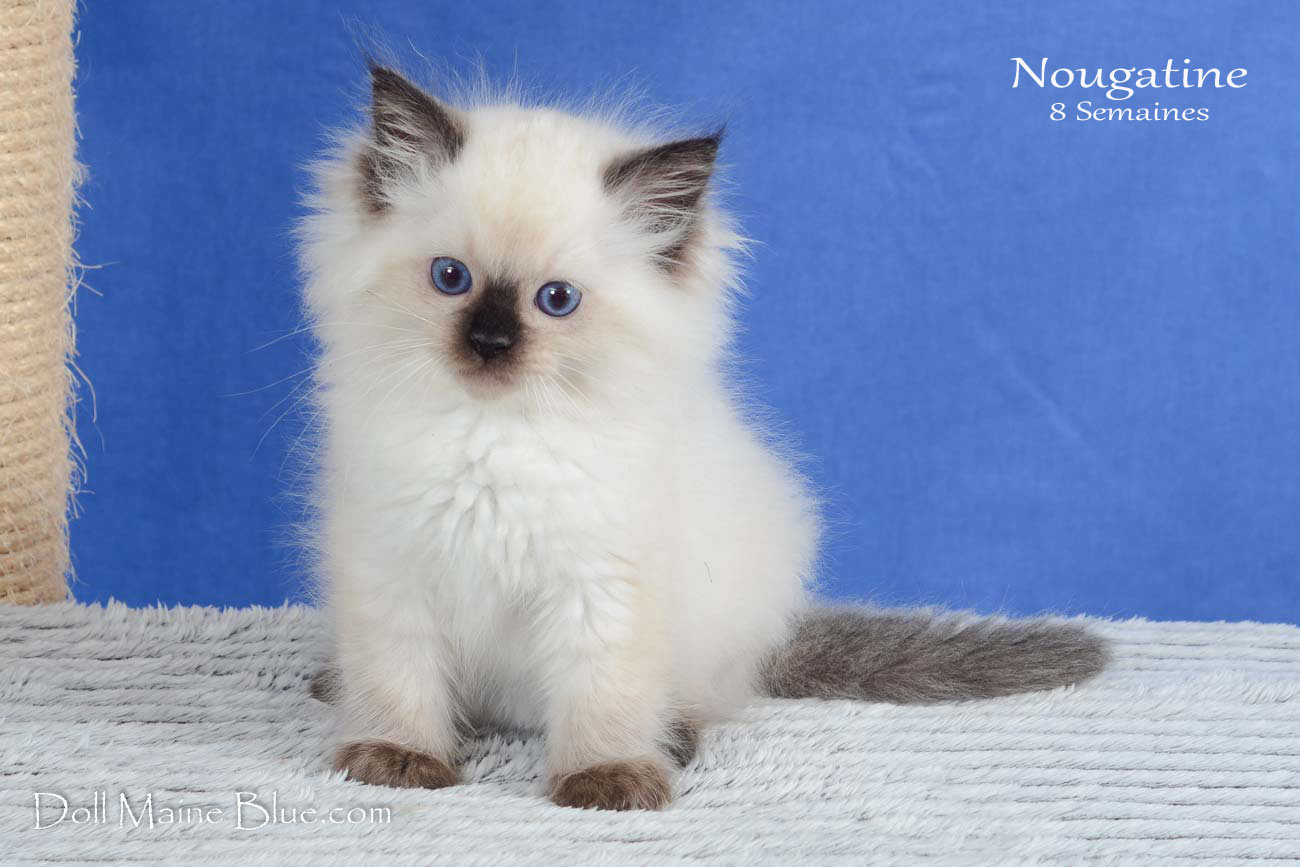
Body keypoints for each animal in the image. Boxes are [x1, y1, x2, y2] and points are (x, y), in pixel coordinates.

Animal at [297, 63, 1108, 811]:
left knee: (700, 697)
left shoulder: (604, 586)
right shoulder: (392, 567)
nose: (490, 344)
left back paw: (674, 737)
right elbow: (399, 679)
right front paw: (398, 757)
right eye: (451, 278)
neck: (496, 437)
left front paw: (605, 778)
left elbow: (603, 694)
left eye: (555, 300)